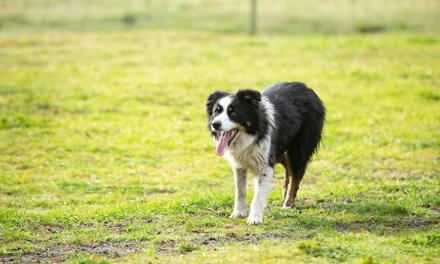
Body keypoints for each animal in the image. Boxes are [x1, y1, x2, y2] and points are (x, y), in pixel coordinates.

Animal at [205, 82, 324, 225]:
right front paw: (238, 212)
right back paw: (285, 194)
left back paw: (288, 204)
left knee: (295, 176)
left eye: (233, 112)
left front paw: (254, 218)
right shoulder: (239, 164)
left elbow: (258, 195)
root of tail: (307, 88)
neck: (251, 134)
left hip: (299, 150)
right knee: (287, 167)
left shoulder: (264, 165)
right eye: (216, 112)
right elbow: (240, 190)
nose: (215, 124)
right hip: (278, 150)